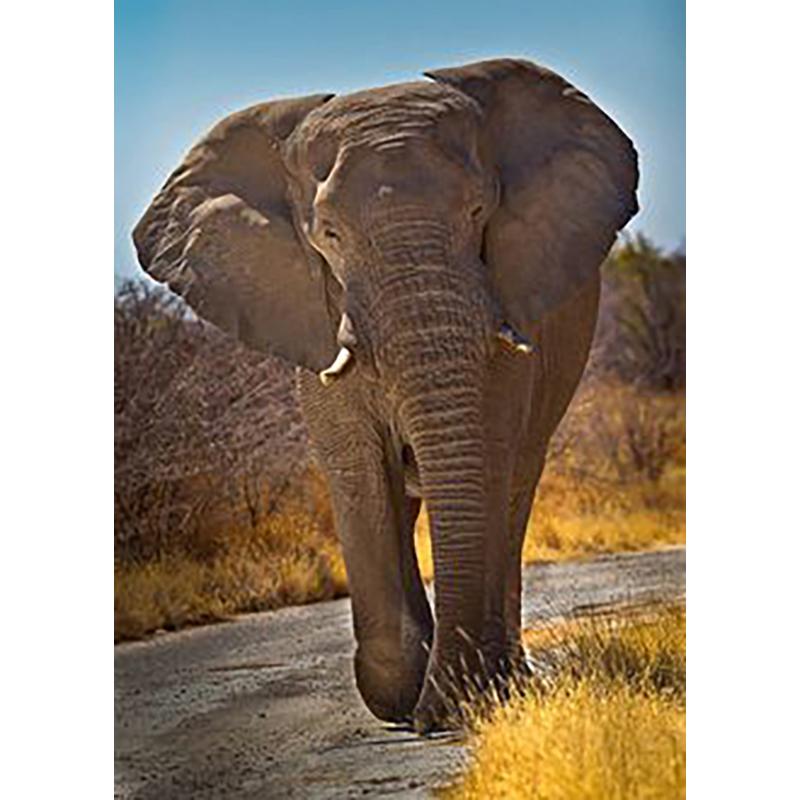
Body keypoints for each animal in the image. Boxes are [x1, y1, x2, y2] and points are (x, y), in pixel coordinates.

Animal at [133, 58, 638, 732]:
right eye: (328, 235)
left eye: (479, 211)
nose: (437, 718)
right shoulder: (315, 320)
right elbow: (361, 472)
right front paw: (401, 694)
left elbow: (488, 457)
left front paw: (462, 696)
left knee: (517, 483)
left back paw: (506, 676)